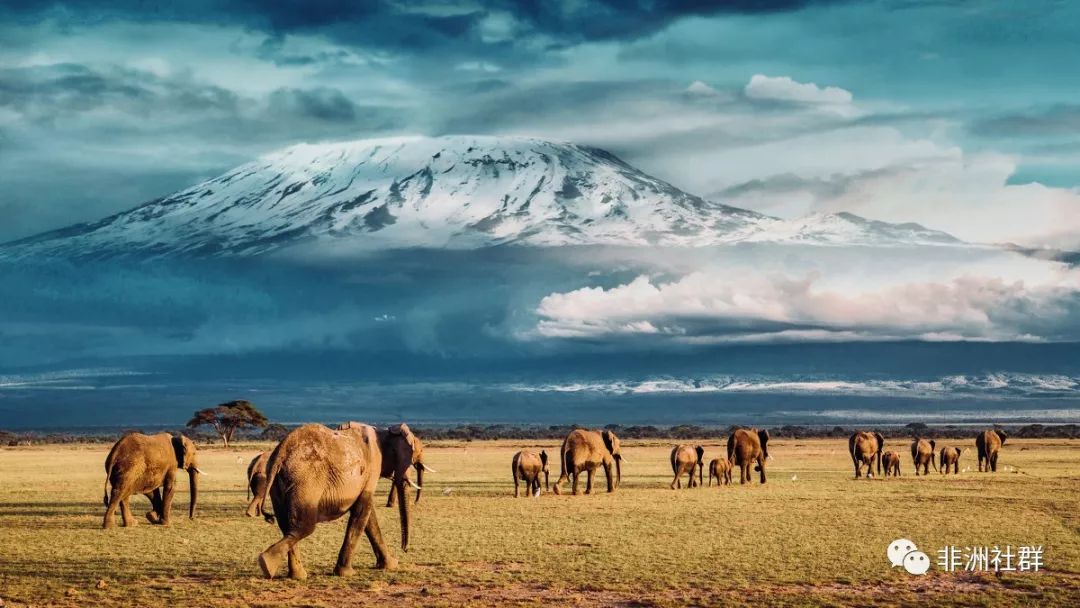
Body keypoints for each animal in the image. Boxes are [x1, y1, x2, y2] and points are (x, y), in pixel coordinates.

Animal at [257, 421, 412, 583]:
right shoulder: (372, 468)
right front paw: (346, 573)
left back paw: (295, 575)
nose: (405, 549)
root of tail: (281, 451)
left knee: (287, 526)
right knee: (304, 527)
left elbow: (368, 517)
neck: (383, 432)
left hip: (279, 484)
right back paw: (267, 564)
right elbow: (362, 512)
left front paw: (390, 565)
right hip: (306, 480)